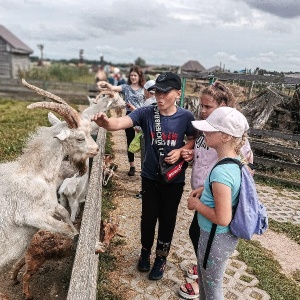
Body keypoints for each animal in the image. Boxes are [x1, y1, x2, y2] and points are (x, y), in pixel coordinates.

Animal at [0, 79, 99, 270]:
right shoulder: (32, 215)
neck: (36, 175)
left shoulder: (52, 204)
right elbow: (66, 230)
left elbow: (66, 214)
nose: (96, 149)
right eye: (80, 138)